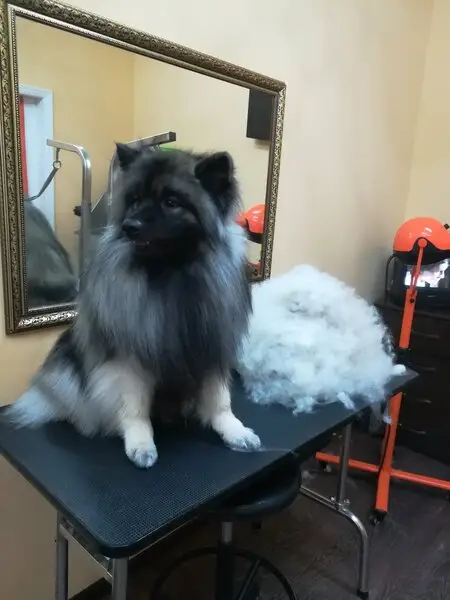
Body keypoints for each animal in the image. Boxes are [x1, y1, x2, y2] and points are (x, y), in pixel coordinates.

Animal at [5, 145, 261, 467]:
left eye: (171, 202)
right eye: (136, 200)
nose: (130, 226)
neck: (171, 273)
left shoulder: (212, 345)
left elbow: (219, 400)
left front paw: (234, 430)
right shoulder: (130, 358)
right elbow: (135, 407)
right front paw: (140, 443)